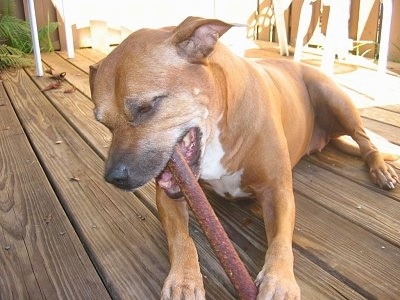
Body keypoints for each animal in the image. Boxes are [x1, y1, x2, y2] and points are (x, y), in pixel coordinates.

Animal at [89, 17, 398, 300]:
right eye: (104, 123)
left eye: (147, 107)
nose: (113, 178)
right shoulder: (169, 196)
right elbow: (181, 239)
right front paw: (183, 279)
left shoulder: (277, 190)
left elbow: (281, 241)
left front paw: (279, 280)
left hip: (336, 99)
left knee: (365, 140)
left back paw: (381, 170)